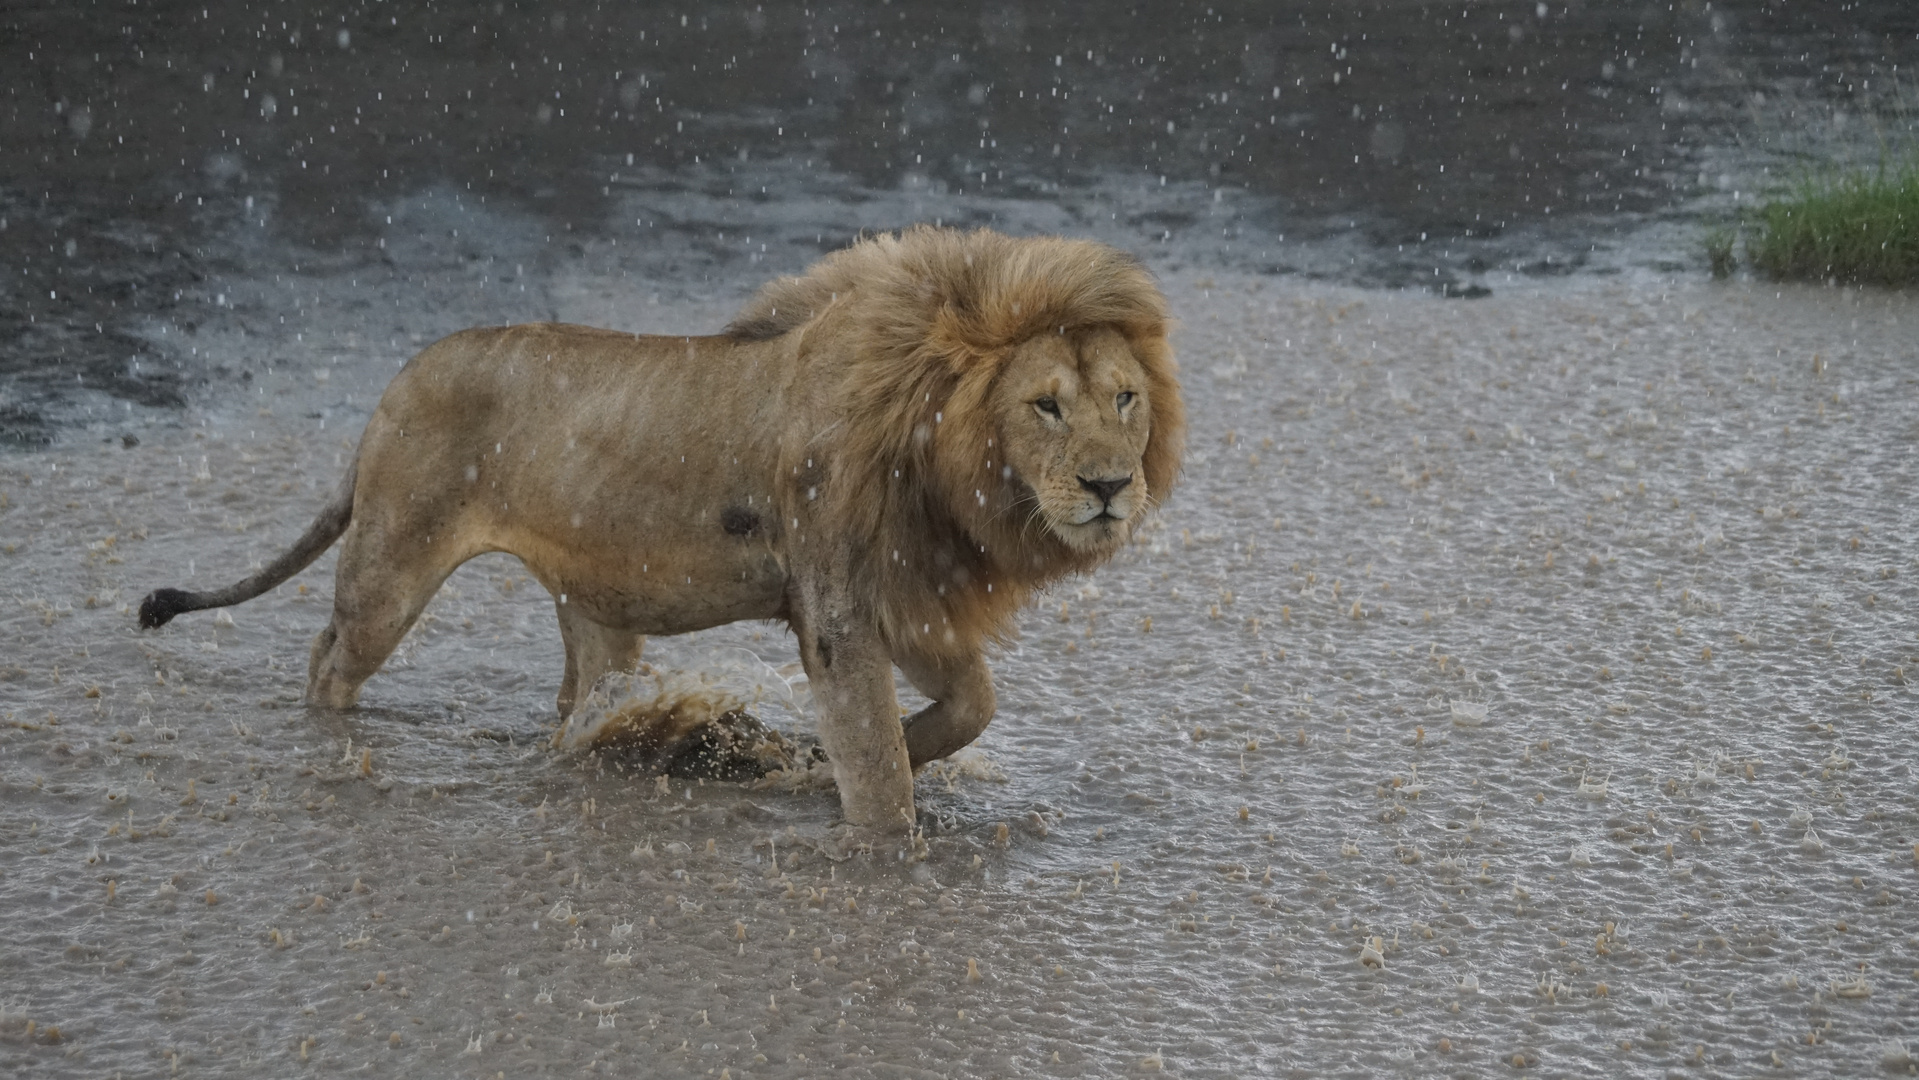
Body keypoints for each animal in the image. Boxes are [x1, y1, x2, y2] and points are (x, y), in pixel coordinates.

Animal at [139, 228, 1182, 832]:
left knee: (578, 703)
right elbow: (878, 769)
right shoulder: (839, 612)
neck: (942, 458)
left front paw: (791, 764)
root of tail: (388, 391)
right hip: (389, 567)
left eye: (1123, 399)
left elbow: (971, 708)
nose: (1107, 486)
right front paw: (879, 840)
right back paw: (327, 739)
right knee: (327, 659)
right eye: (1045, 406)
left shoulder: (908, 597)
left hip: (596, 608)